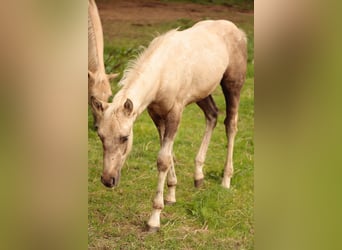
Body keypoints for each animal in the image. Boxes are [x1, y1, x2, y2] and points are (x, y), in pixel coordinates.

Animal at [89, 20, 247, 232]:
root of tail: (238, 31)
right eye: (100, 136)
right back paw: (198, 176)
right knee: (212, 115)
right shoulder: (157, 115)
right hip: (203, 93)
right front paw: (171, 195)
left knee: (231, 124)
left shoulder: (175, 113)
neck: (163, 73)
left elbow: (163, 159)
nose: (108, 180)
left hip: (233, 84)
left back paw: (226, 180)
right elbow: (168, 153)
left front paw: (154, 219)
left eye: (125, 137)